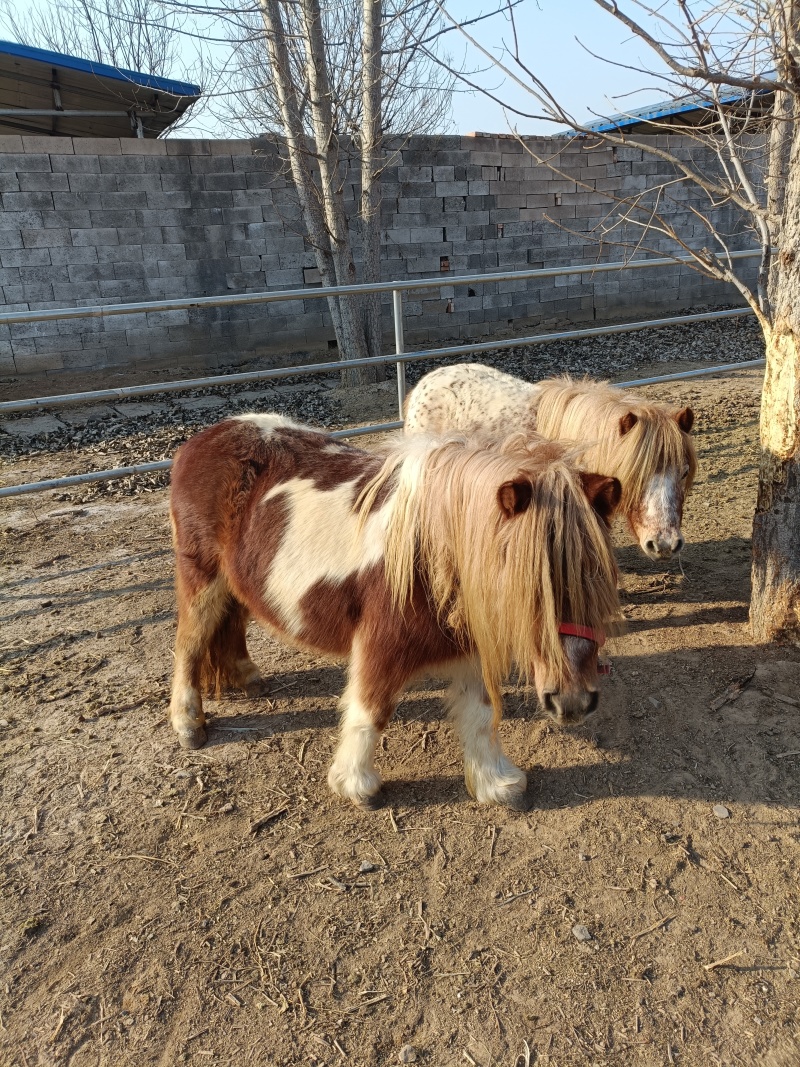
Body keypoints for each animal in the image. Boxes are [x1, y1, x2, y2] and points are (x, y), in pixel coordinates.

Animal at [168, 413, 623, 809]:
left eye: (599, 576)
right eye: (526, 584)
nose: (573, 703)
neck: (431, 551)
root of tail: (205, 438)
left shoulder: (469, 646)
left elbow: (480, 713)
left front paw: (495, 783)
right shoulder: (380, 647)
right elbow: (370, 711)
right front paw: (356, 786)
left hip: (234, 583)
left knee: (231, 627)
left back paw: (247, 678)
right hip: (202, 579)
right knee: (190, 643)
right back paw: (189, 725)